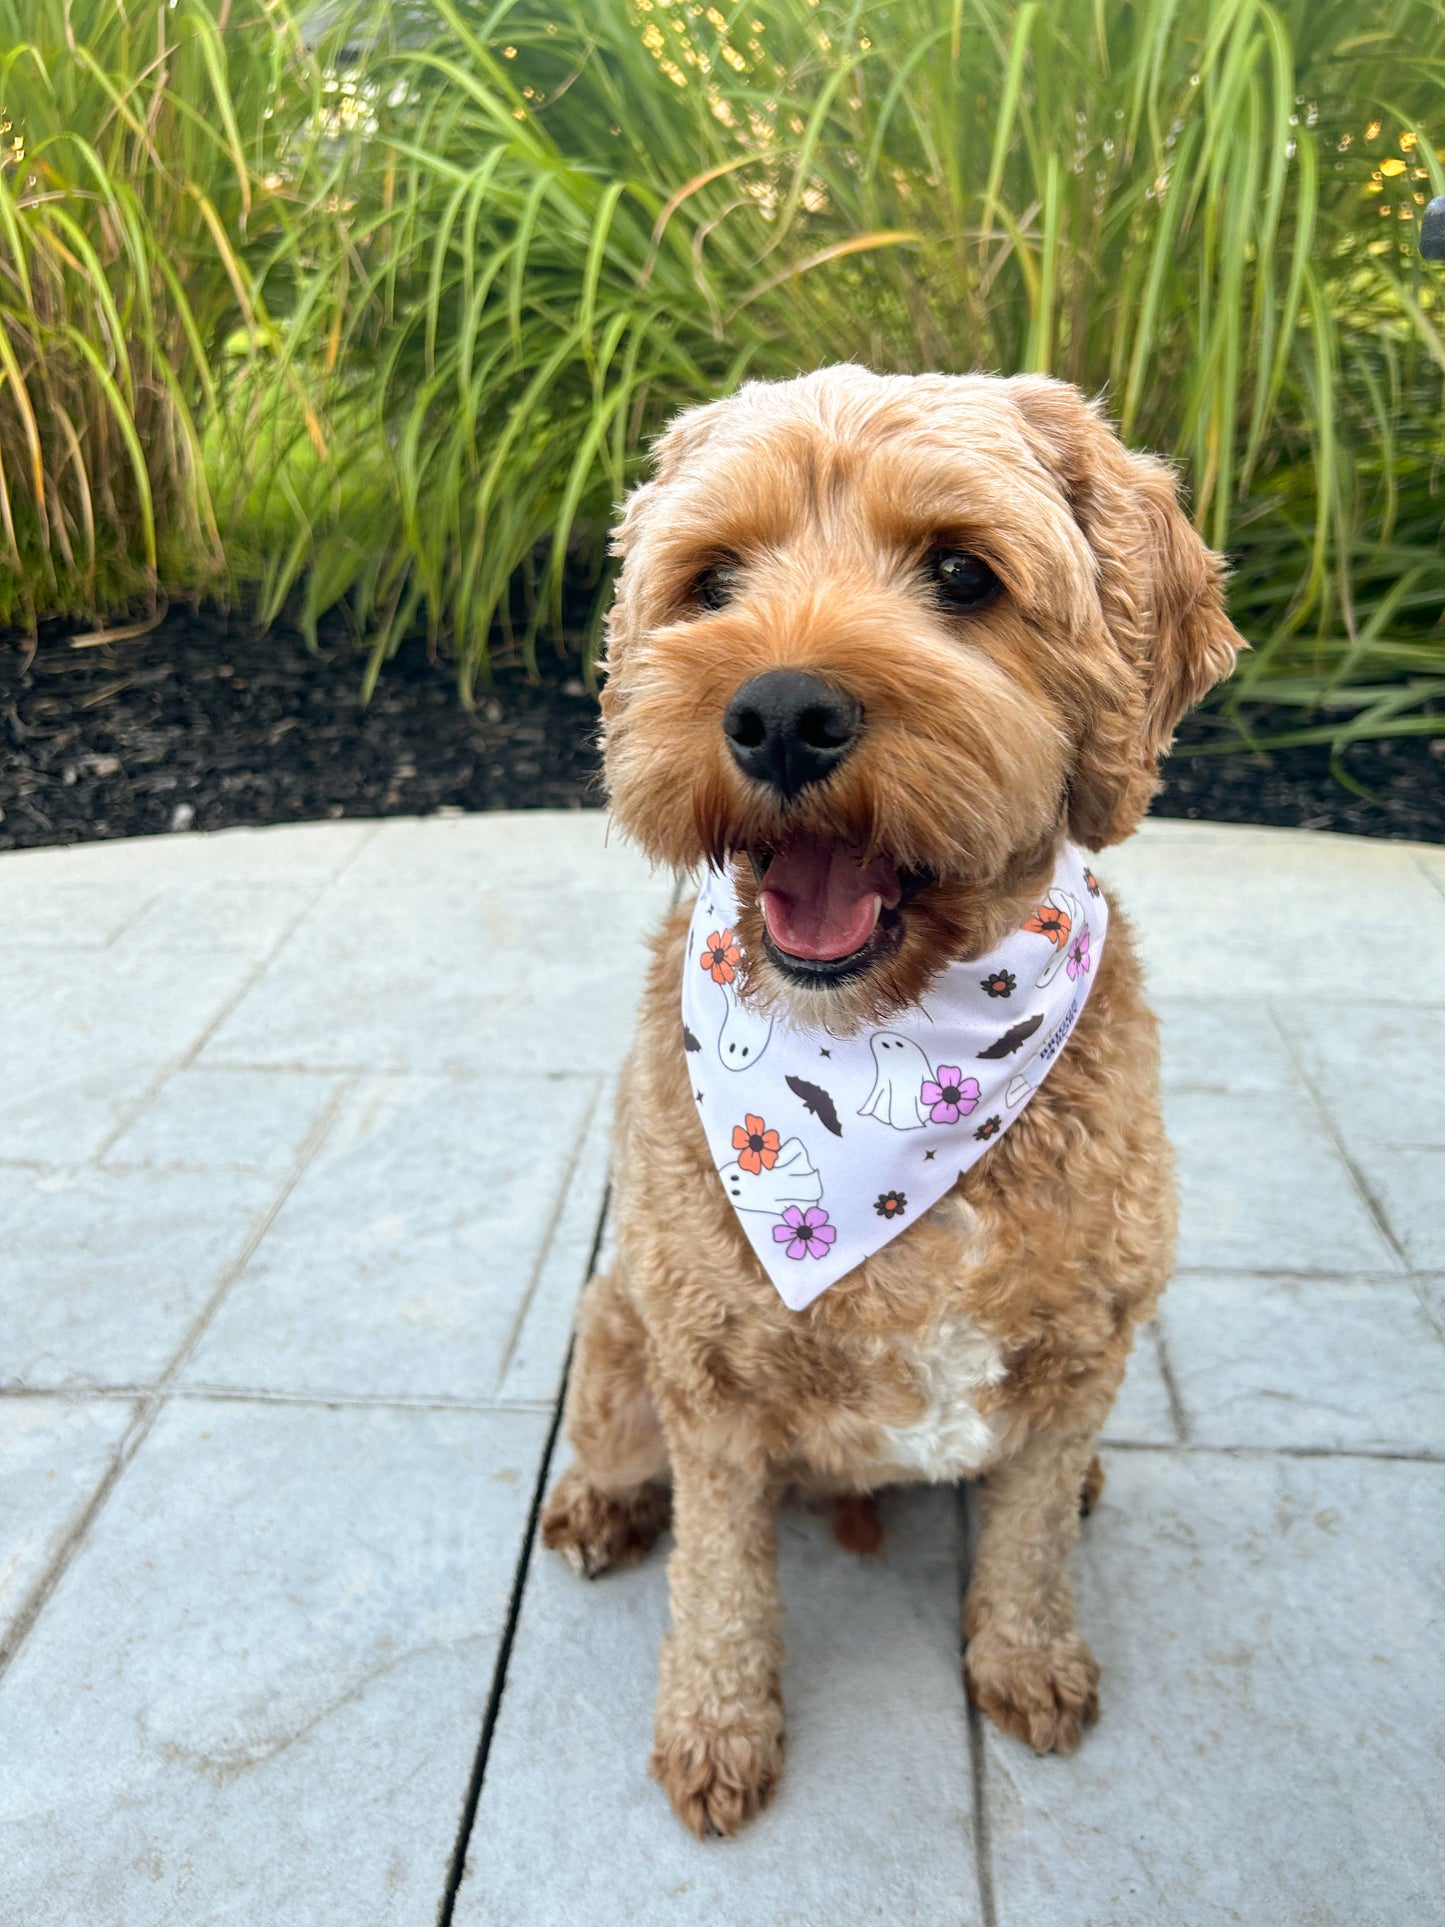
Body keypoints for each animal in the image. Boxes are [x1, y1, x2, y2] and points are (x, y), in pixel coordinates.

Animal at [543, 364, 1248, 1834]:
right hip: (617, 1322)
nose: (778, 713)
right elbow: (720, 1578)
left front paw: (1028, 1660)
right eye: (712, 579)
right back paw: (598, 1505)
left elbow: (1027, 1537)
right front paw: (715, 1727)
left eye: (963, 572)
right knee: (621, 1450)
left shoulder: (1088, 1341)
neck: (887, 1056)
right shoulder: (706, 1370)